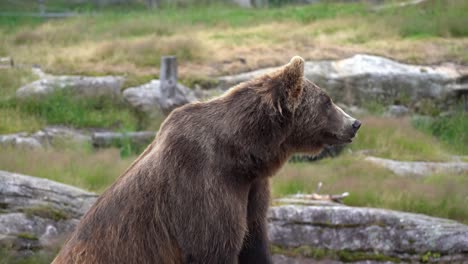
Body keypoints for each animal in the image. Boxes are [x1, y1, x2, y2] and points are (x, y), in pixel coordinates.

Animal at [53, 56, 360, 264]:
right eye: (328, 100)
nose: (355, 123)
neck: (242, 154)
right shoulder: (200, 184)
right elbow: (213, 245)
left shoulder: (252, 190)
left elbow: (253, 242)